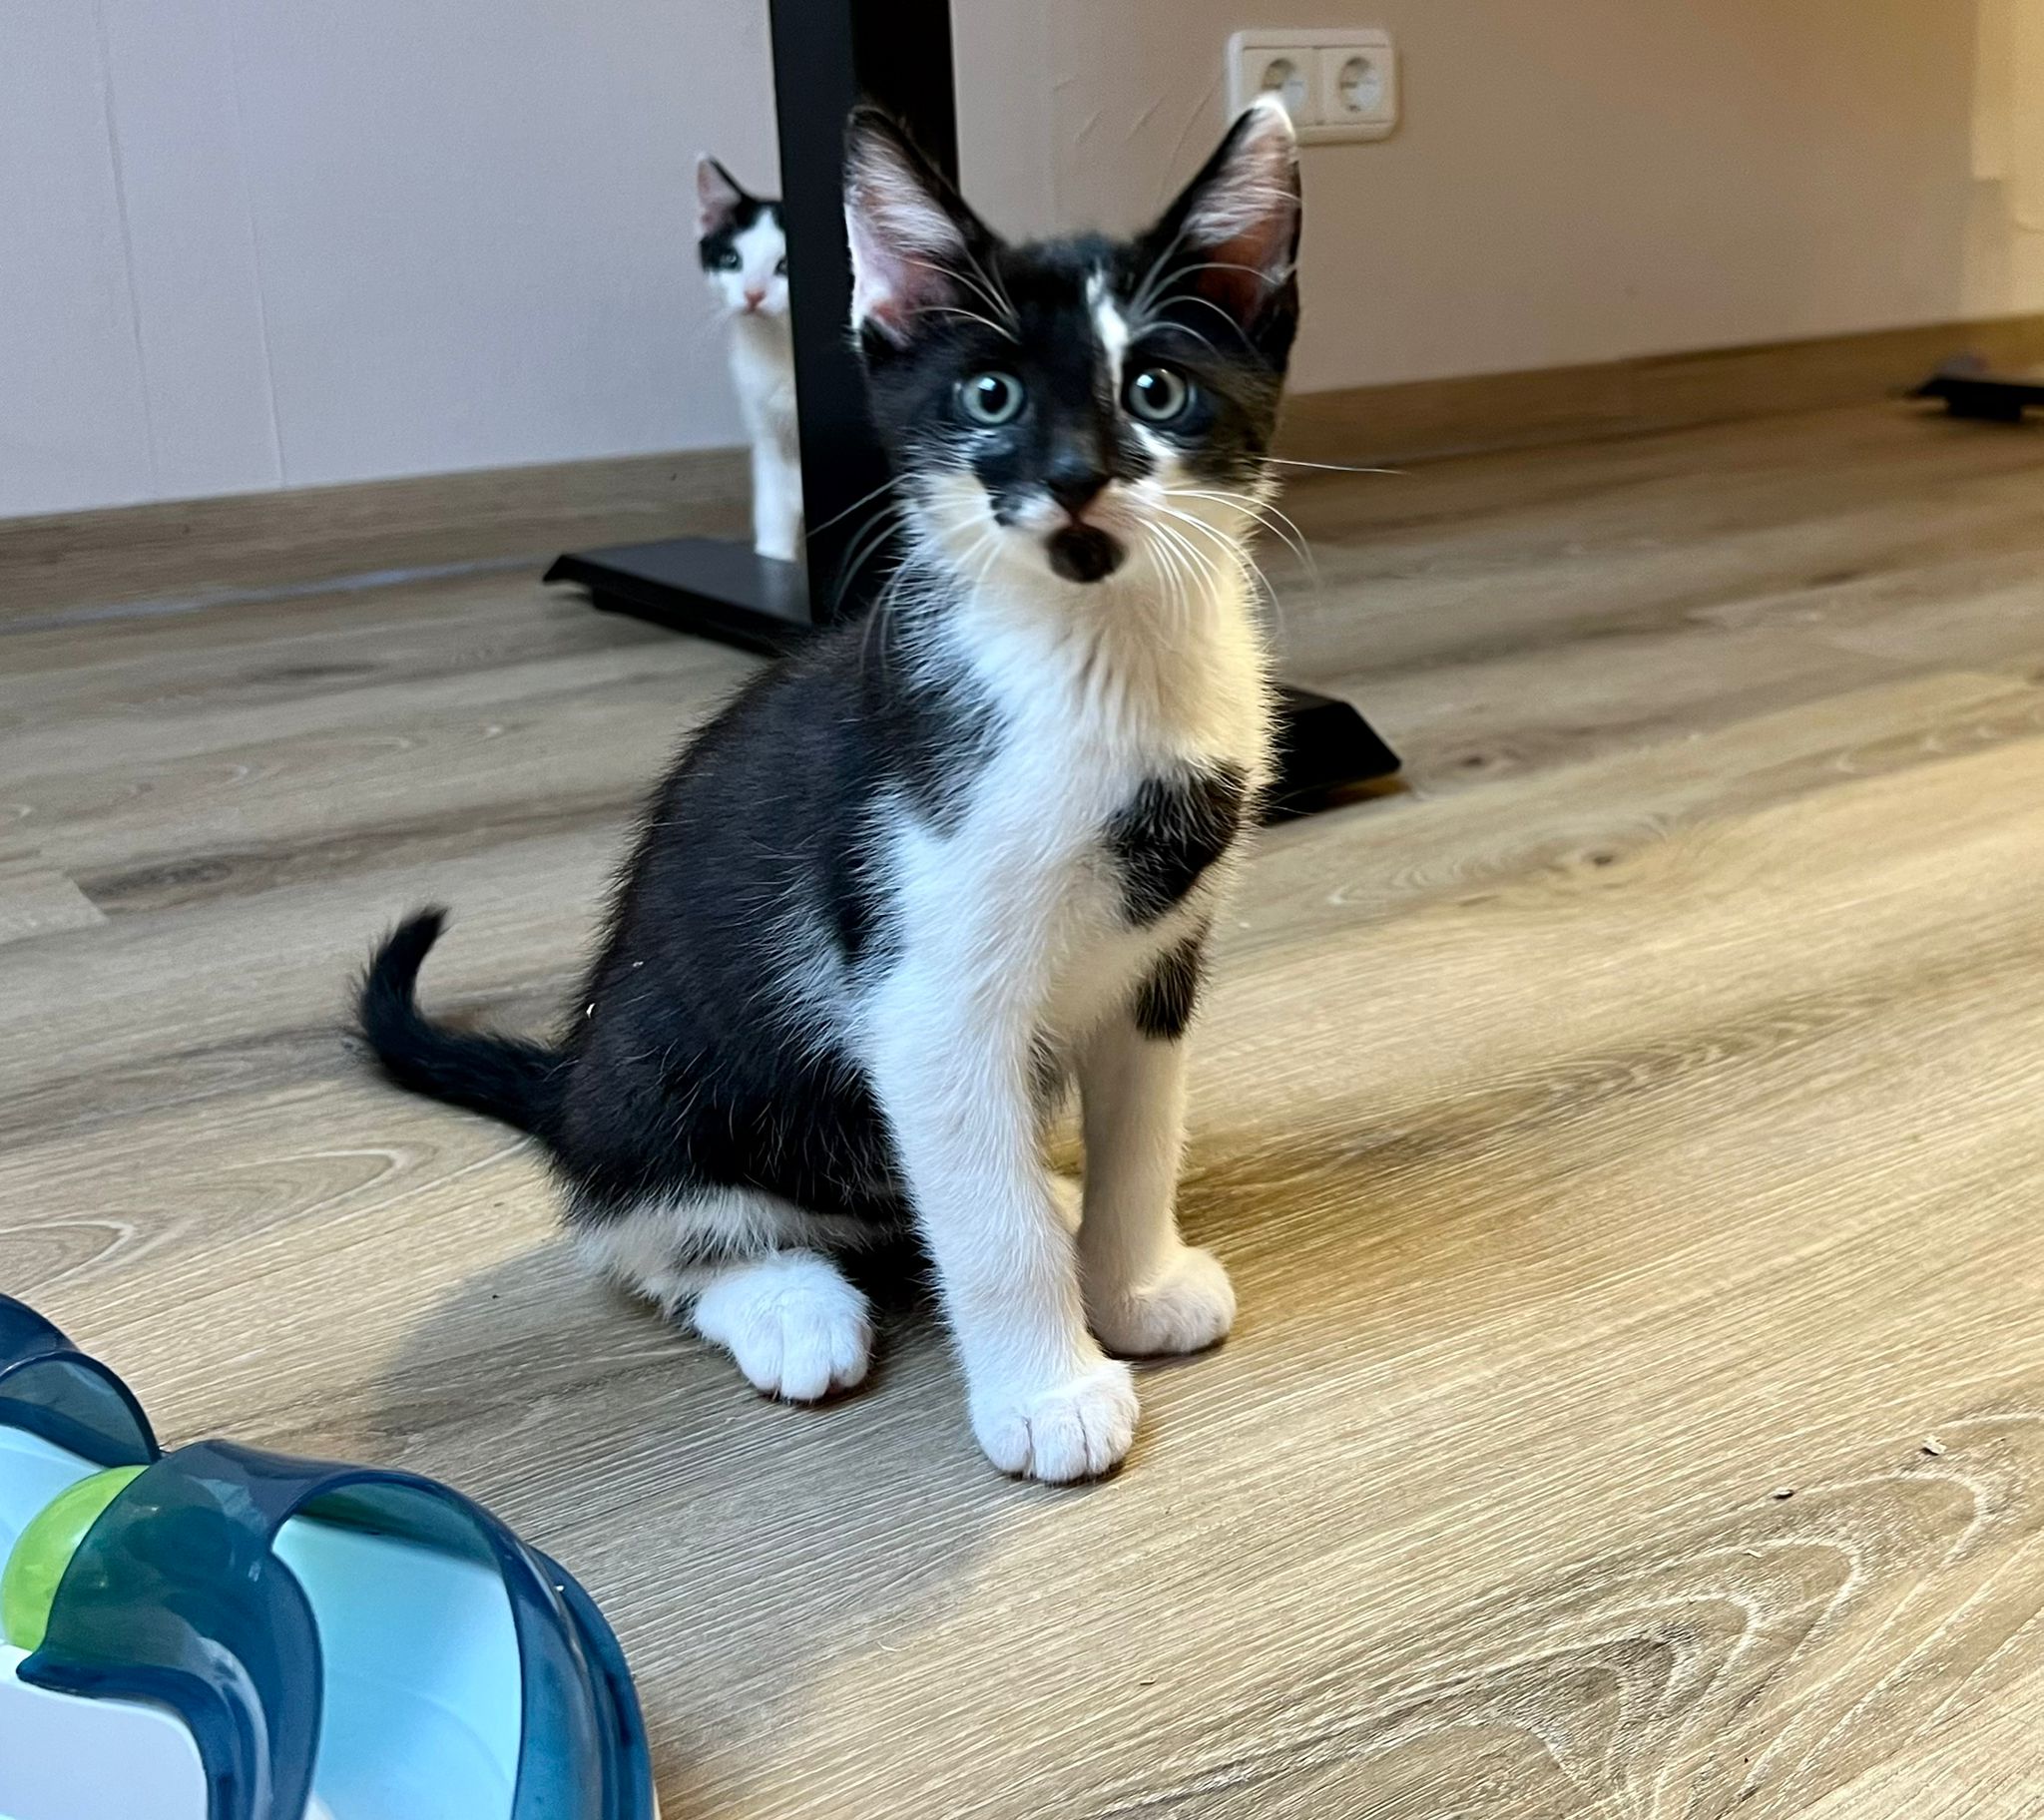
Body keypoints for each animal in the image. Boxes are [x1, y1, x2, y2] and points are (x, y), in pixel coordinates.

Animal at [698, 155, 802, 563]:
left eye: (786, 265)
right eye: (731, 259)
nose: (753, 295)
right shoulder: (766, 433)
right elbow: (774, 509)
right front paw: (775, 561)